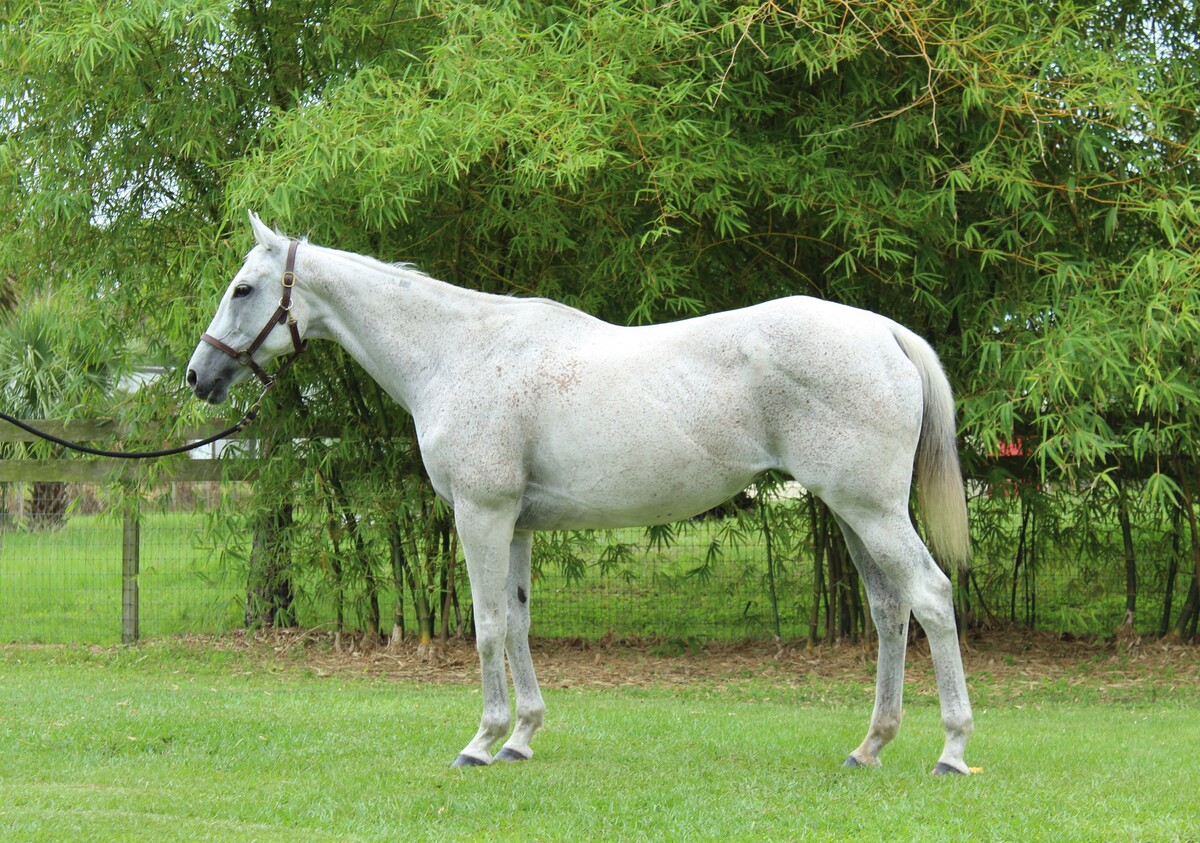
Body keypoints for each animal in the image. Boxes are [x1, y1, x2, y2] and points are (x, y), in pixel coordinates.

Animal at [187, 212, 974, 775]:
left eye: (243, 289)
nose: (198, 375)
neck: (456, 352)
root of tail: (884, 332)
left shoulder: (481, 514)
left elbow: (487, 625)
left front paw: (481, 740)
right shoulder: (517, 524)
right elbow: (519, 621)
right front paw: (521, 737)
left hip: (871, 511)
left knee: (932, 597)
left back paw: (952, 749)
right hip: (851, 514)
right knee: (889, 611)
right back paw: (870, 746)